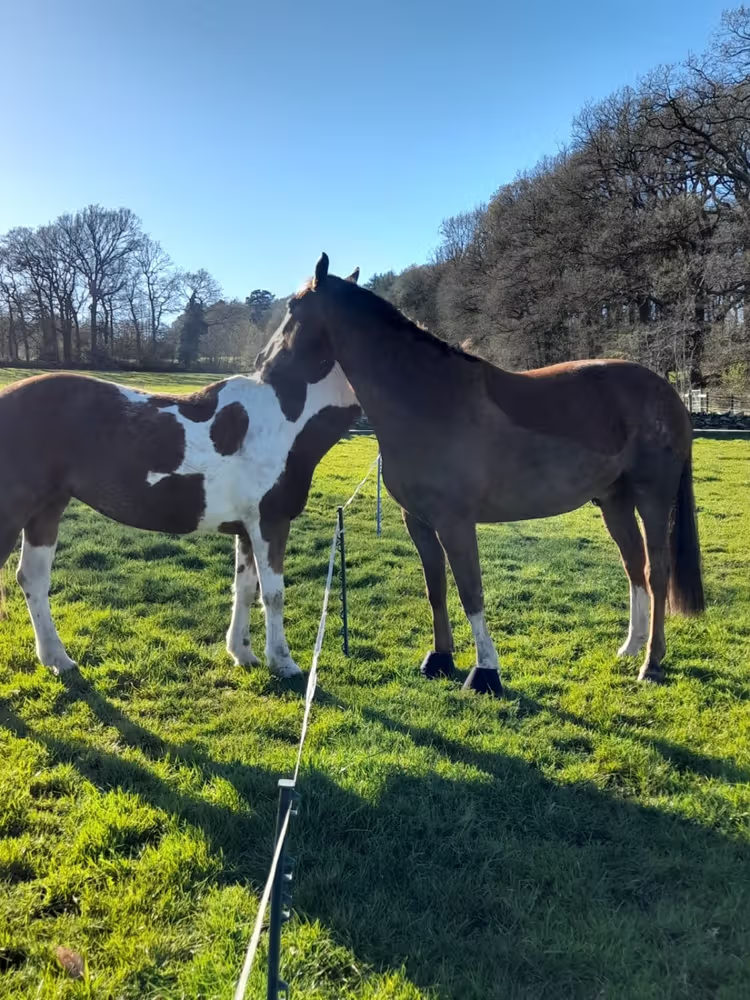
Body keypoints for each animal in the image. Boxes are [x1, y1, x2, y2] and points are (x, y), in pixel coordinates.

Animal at [0, 279, 361, 677]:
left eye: (293, 308)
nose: (263, 360)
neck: (285, 418)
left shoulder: (248, 529)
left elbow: (245, 589)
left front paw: (242, 653)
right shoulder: (270, 523)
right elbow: (274, 594)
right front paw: (283, 662)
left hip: (46, 510)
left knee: (32, 578)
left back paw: (57, 659)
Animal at [258, 253, 704, 694]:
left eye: (292, 307)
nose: (263, 364)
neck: (427, 397)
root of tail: (667, 392)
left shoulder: (455, 523)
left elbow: (471, 592)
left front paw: (486, 670)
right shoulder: (418, 521)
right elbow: (436, 588)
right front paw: (439, 658)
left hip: (652, 498)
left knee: (656, 572)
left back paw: (651, 663)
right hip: (614, 501)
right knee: (634, 567)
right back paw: (631, 647)